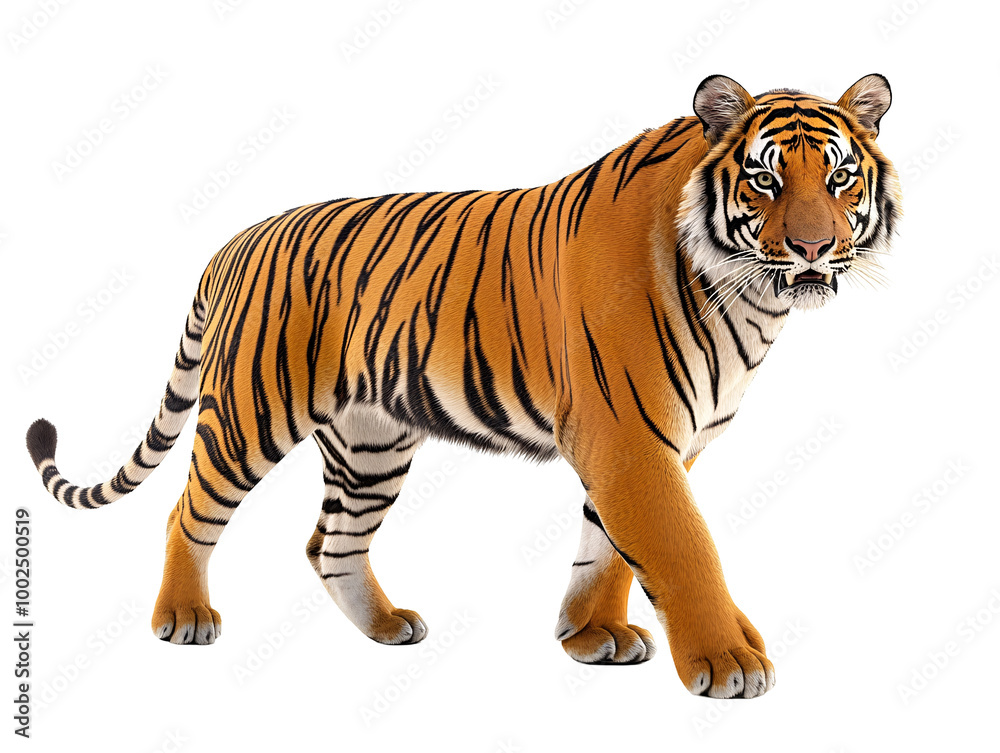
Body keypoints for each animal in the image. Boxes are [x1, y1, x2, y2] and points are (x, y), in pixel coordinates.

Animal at [26, 74, 900, 699]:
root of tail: (236, 240)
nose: (815, 248)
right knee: (188, 509)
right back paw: (183, 617)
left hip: (371, 443)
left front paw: (590, 637)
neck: (746, 297)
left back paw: (384, 626)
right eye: (766, 181)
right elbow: (681, 546)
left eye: (840, 177)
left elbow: (610, 550)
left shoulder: (653, 445)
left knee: (330, 540)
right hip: (251, 411)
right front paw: (727, 659)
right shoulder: (630, 437)